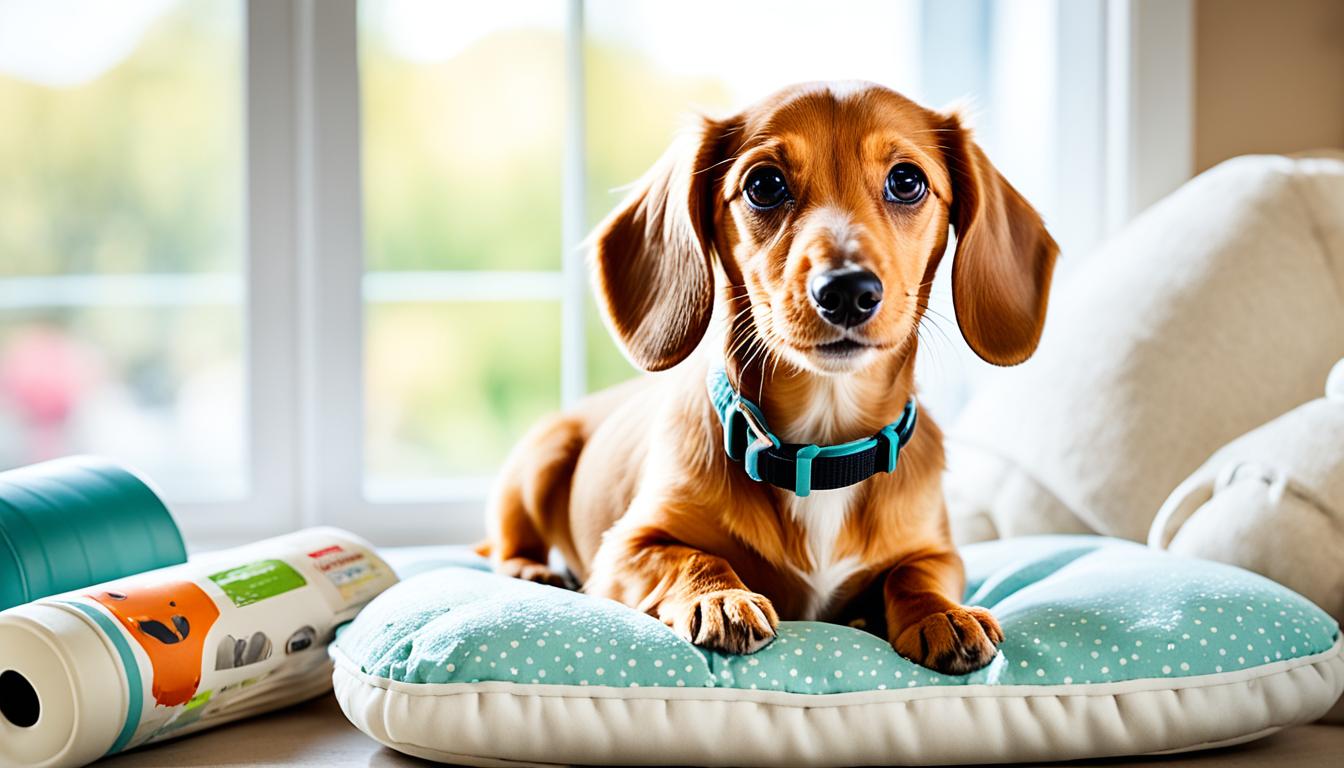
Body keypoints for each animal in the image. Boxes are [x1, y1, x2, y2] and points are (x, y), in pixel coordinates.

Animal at [478, 81, 1053, 675]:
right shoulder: (627, 548)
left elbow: (914, 573)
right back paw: (532, 569)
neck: (821, 452)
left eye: (907, 181)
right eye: (764, 184)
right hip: (541, 457)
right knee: (500, 545)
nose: (847, 290)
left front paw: (941, 613)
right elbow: (693, 557)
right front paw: (721, 597)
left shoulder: (938, 550)